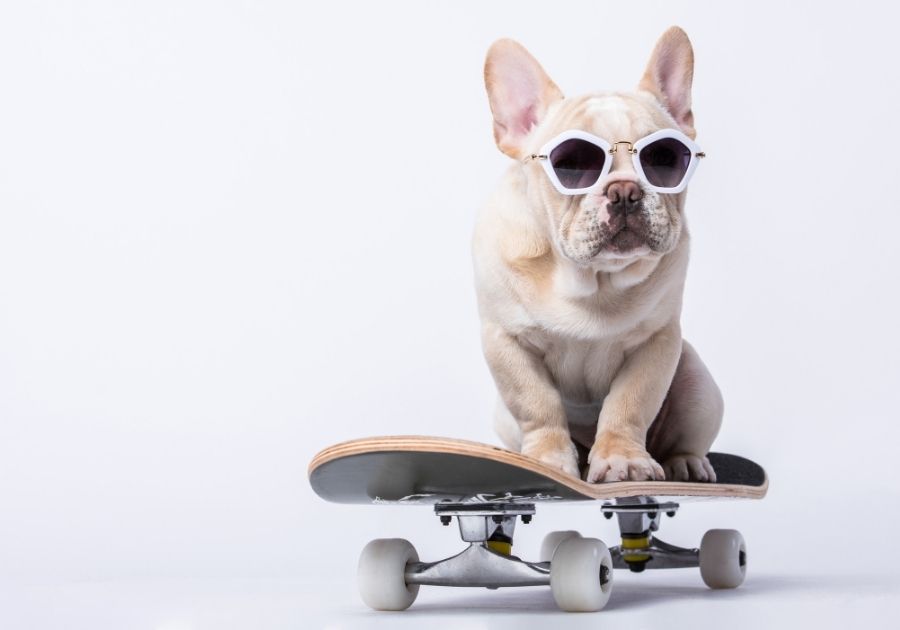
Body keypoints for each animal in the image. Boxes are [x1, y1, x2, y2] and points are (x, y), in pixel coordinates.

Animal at [472, 25, 724, 484]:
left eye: (663, 159)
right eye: (571, 164)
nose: (624, 191)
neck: (593, 277)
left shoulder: (657, 343)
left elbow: (629, 404)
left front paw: (623, 459)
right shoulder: (506, 340)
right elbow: (537, 403)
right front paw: (548, 460)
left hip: (697, 380)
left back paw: (685, 462)